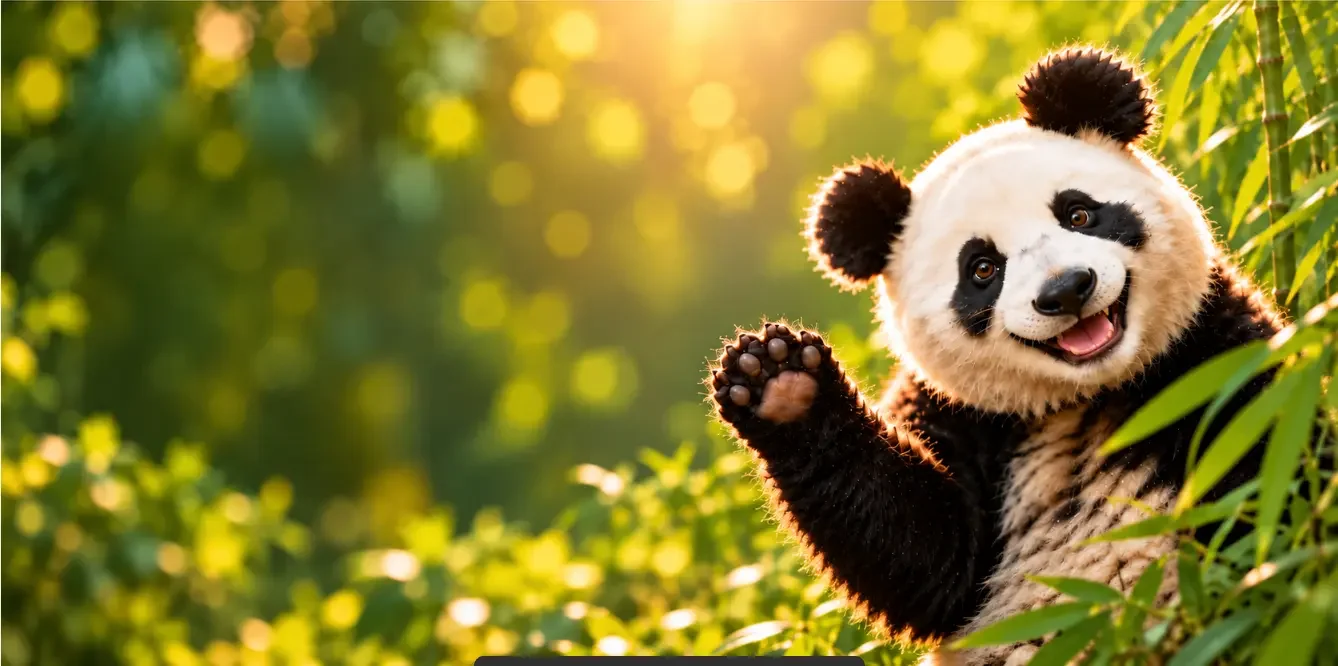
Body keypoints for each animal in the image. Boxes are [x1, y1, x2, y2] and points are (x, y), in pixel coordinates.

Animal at [706, 47, 1290, 665]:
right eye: (983, 269)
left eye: (1079, 214)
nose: (1067, 290)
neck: (1087, 394)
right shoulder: (958, 412)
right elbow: (924, 556)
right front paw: (779, 381)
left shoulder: (1208, 350)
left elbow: (1267, 463)